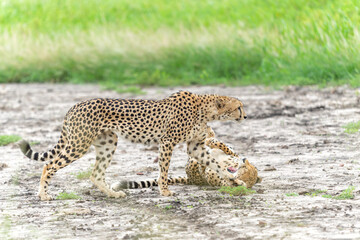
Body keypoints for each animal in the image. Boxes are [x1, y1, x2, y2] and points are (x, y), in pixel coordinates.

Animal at [18, 91, 246, 200]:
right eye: (239, 107)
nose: (246, 116)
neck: (204, 109)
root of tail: (75, 105)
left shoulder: (195, 147)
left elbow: (215, 163)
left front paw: (234, 180)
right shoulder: (167, 142)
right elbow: (164, 170)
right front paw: (164, 191)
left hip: (108, 142)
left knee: (96, 174)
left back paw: (113, 194)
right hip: (78, 144)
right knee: (49, 165)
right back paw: (43, 195)